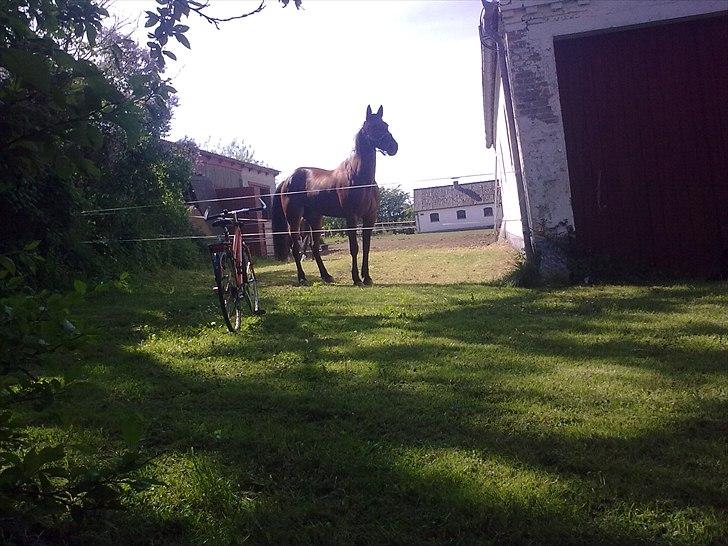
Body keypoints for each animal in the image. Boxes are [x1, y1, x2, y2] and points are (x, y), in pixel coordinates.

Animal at [272, 105, 398, 284]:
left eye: (386, 125)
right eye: (373, 127)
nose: (394, 146)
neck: (359, 177)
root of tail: (287, 180)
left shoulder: (370, 217)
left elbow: (366, 247)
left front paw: (367, 277)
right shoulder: (351, 217)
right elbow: (354, 248)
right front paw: (356, 278)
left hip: (315, 219)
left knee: (314, 248)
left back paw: (326, 276)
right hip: (295, 219)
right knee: (295, 247)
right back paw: (302, 278)